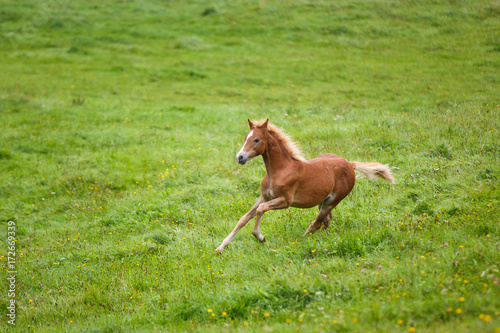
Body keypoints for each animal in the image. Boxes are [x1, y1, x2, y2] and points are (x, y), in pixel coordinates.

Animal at [215, 119, 394, 254]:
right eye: (246, 137)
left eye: (256, 139)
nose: (240, 157)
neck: (280, 169)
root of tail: (350, 164)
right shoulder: (264, 196)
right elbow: (244, 218)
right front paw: (221, 247)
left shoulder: (285, 201)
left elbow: (260, 210)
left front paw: (260, 237)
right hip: (324, 201)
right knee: (326, 220)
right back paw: (324, 238)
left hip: (332, 201)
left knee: (317, 223)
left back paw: (303, 240)